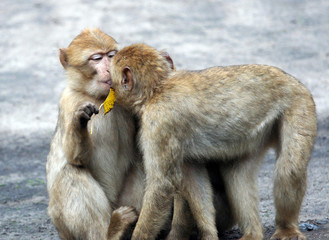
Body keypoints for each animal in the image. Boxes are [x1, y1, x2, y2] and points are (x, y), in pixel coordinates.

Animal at [109, 43, 316, 240]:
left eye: (113, 80)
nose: (110, 88)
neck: (157, 89)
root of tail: (293, 80)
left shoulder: (158, 124)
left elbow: (163, 184)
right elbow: (192, 176)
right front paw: (209, 235)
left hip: (298, 103)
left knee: (290, 169)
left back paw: (286, 229)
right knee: (237, 173)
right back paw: (253, 234)